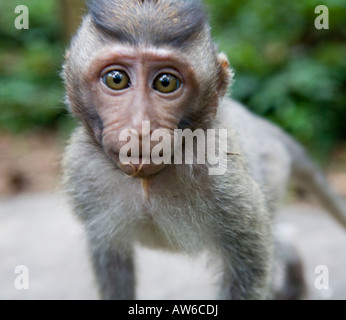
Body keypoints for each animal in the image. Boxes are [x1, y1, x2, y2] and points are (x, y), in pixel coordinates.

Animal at [62, 0, 346, 300]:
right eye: (116, 79)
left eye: (165, 82)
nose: (139, 128)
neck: (147, 182)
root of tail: (264, 127)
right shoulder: (81, 171)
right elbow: (111, 260)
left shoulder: (222, 176)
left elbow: (251, 260)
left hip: (273, 171)